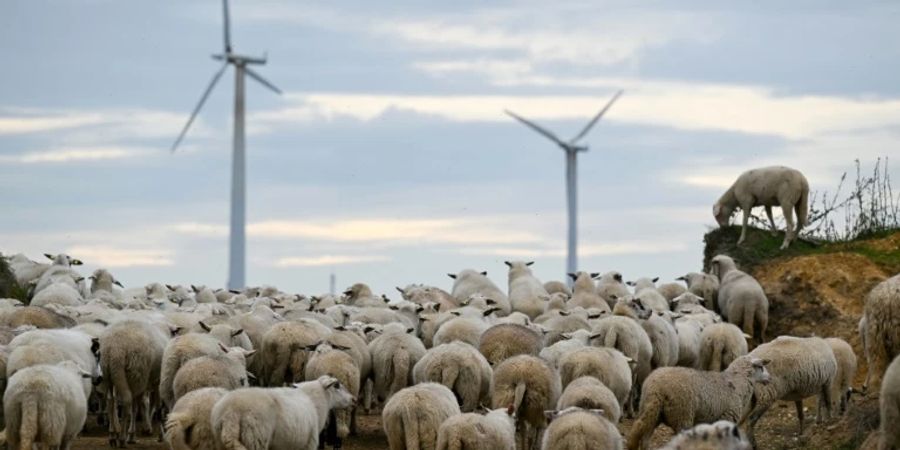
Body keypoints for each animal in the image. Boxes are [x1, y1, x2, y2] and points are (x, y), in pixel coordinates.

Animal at [214, 374, 356, 450]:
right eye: (337, 386)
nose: (354, 399)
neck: (314, 401)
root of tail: (231, 412)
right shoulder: (309, 444)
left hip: (220, 442)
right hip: (256, 440)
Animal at [624, 356, 772, 450]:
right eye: (761, 367)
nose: (770, 378)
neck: (737, 383)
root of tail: (656, 387)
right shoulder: (728, 417)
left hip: (652, 412)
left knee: (644, 439)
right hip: (682, 415)